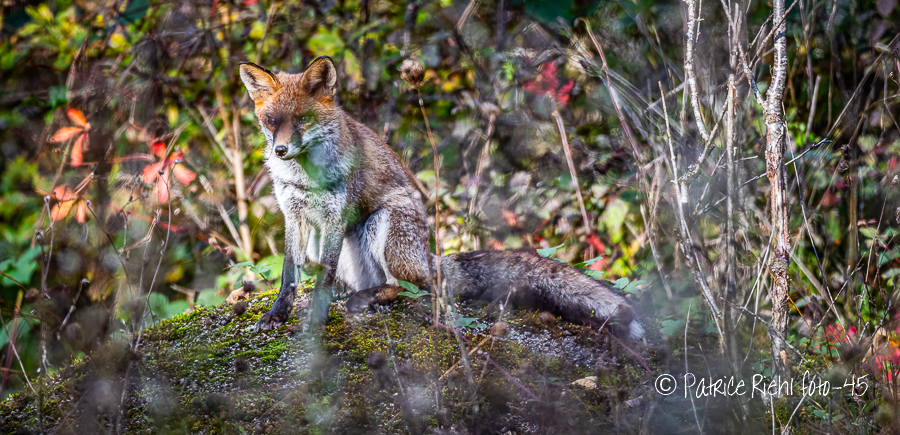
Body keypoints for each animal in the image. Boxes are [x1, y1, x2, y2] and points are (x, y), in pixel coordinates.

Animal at [238, 56, 644, 340]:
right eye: (272, 121)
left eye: (302, 120)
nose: (280, 150)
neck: (305, 177)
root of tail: (429, 257)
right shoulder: (294, 215)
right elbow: (290, 273)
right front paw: (278, 313)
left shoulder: (337, 216)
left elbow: (321, 277)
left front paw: (316, 317)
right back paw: (354, 294)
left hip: (384, 224)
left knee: (415, 288)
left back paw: (367, 298)